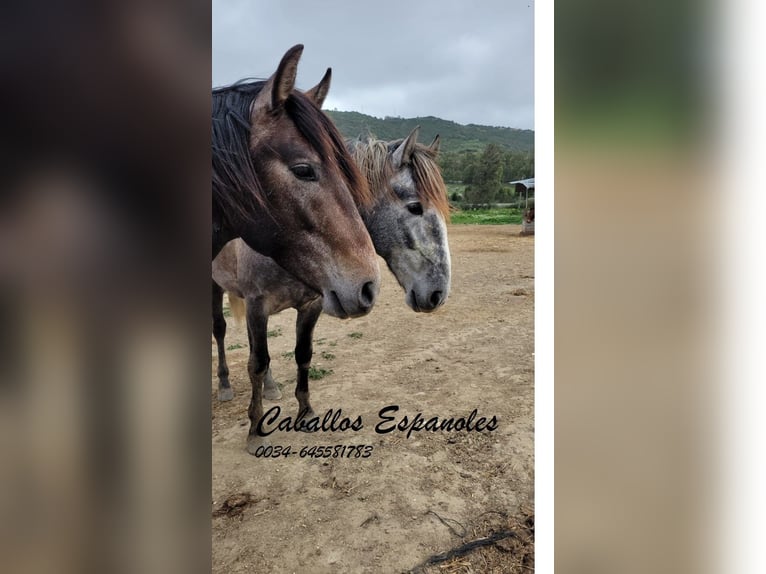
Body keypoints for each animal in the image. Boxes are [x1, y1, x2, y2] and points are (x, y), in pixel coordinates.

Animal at [212, 128, 450, 456]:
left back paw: (271, 388)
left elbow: (302, 355)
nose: (439, 293)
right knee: (221, 332)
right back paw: (224, 386)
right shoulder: (257, 305)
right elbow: (257, 364)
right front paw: (255, 431)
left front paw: (306, 413)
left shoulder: (310, 305)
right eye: (415, 207)